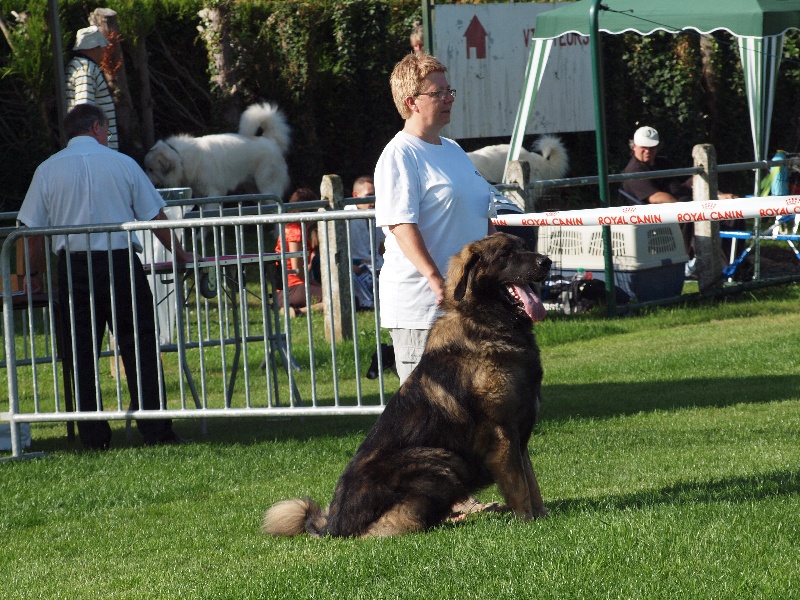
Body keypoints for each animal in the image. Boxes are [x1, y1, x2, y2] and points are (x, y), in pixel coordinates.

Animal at [145, 102, 292, 198]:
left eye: (151, 170)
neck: (180, 157)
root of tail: (271, 140)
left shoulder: (214, 193)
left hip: (267, 186)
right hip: (253, 189)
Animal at [262, 232, 552, 536]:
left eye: (524, 247)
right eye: (506, 254)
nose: (547, 262)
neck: (487, 321)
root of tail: (333, 524)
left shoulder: (518, 431)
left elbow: (531, 480)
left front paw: (541, 514)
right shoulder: (501, 431)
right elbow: (518, 484)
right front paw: (527, 520)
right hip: (439, 459)